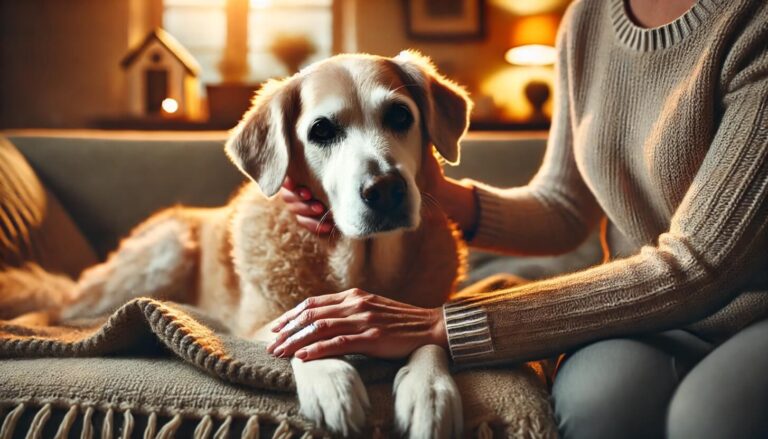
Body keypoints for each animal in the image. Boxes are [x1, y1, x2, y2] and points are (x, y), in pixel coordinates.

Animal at [64, 50, 474, 436]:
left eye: (400, 116)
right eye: (322, 130)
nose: (386, 190)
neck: (360, 261)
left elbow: (428, 339)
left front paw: (430, 393)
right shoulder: (259, 321)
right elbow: (298, 328)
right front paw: (331, 380)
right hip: (167, 250)